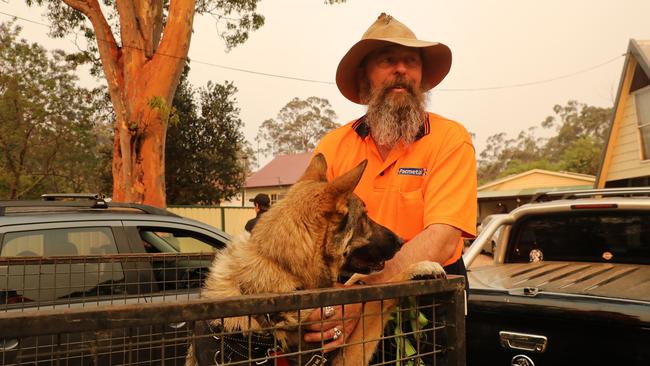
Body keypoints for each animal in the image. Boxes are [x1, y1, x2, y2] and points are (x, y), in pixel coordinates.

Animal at [185, 154, 442, 366]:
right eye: (365, 217)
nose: (401, 241)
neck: (282, 266)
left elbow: (360, 284)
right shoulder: (345, 358)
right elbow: (377, 300)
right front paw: (419, 267)